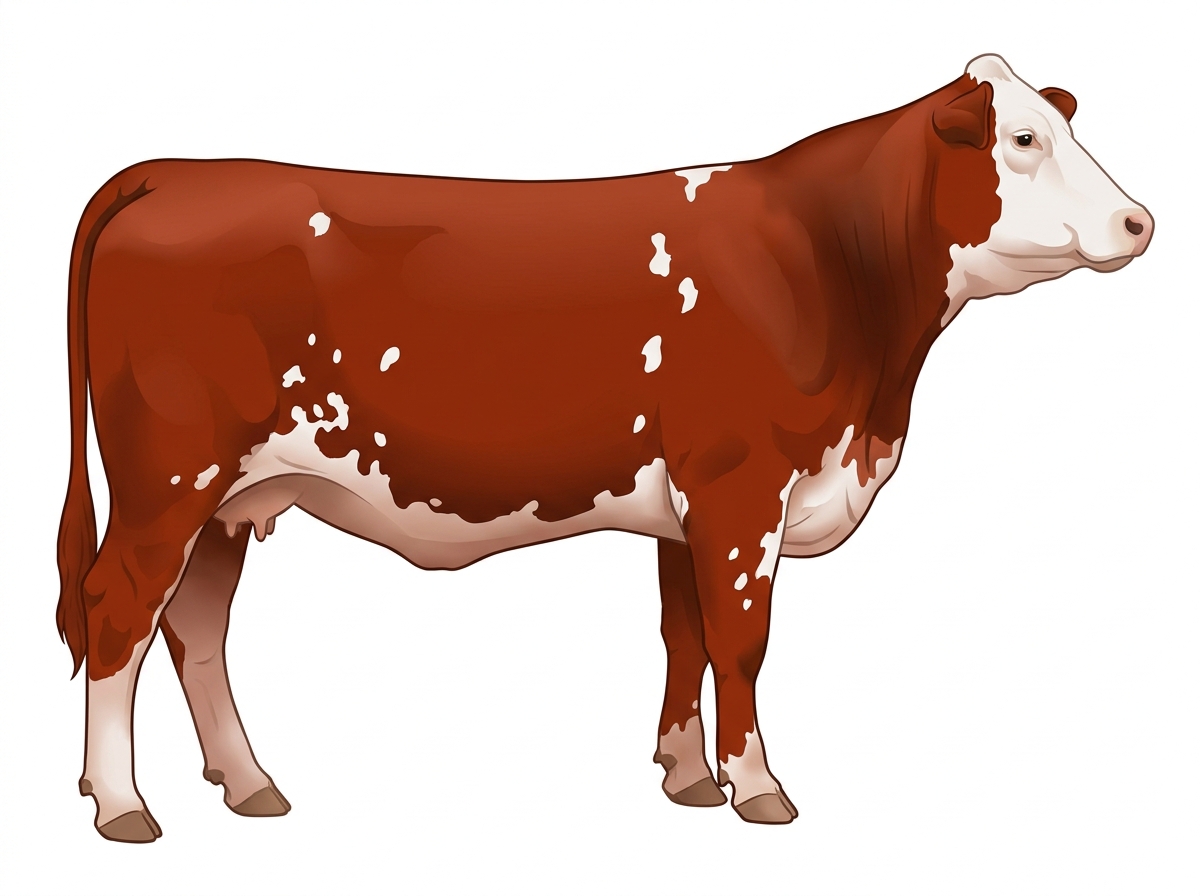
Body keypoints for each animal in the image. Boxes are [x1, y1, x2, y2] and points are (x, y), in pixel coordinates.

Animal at [56, 54, 1152, 842]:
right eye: (1022, 137)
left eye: (1068, 125)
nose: (1139, 220)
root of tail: (174, 173)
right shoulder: (743, 488)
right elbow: (742, 642)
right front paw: (759, 787)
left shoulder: (688, 505)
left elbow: (684, 634)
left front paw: (687, 776)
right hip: (169, 478)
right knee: (119, 614)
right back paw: (123, 805)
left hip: (232, 495)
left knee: (195, 625)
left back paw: (249, 783)